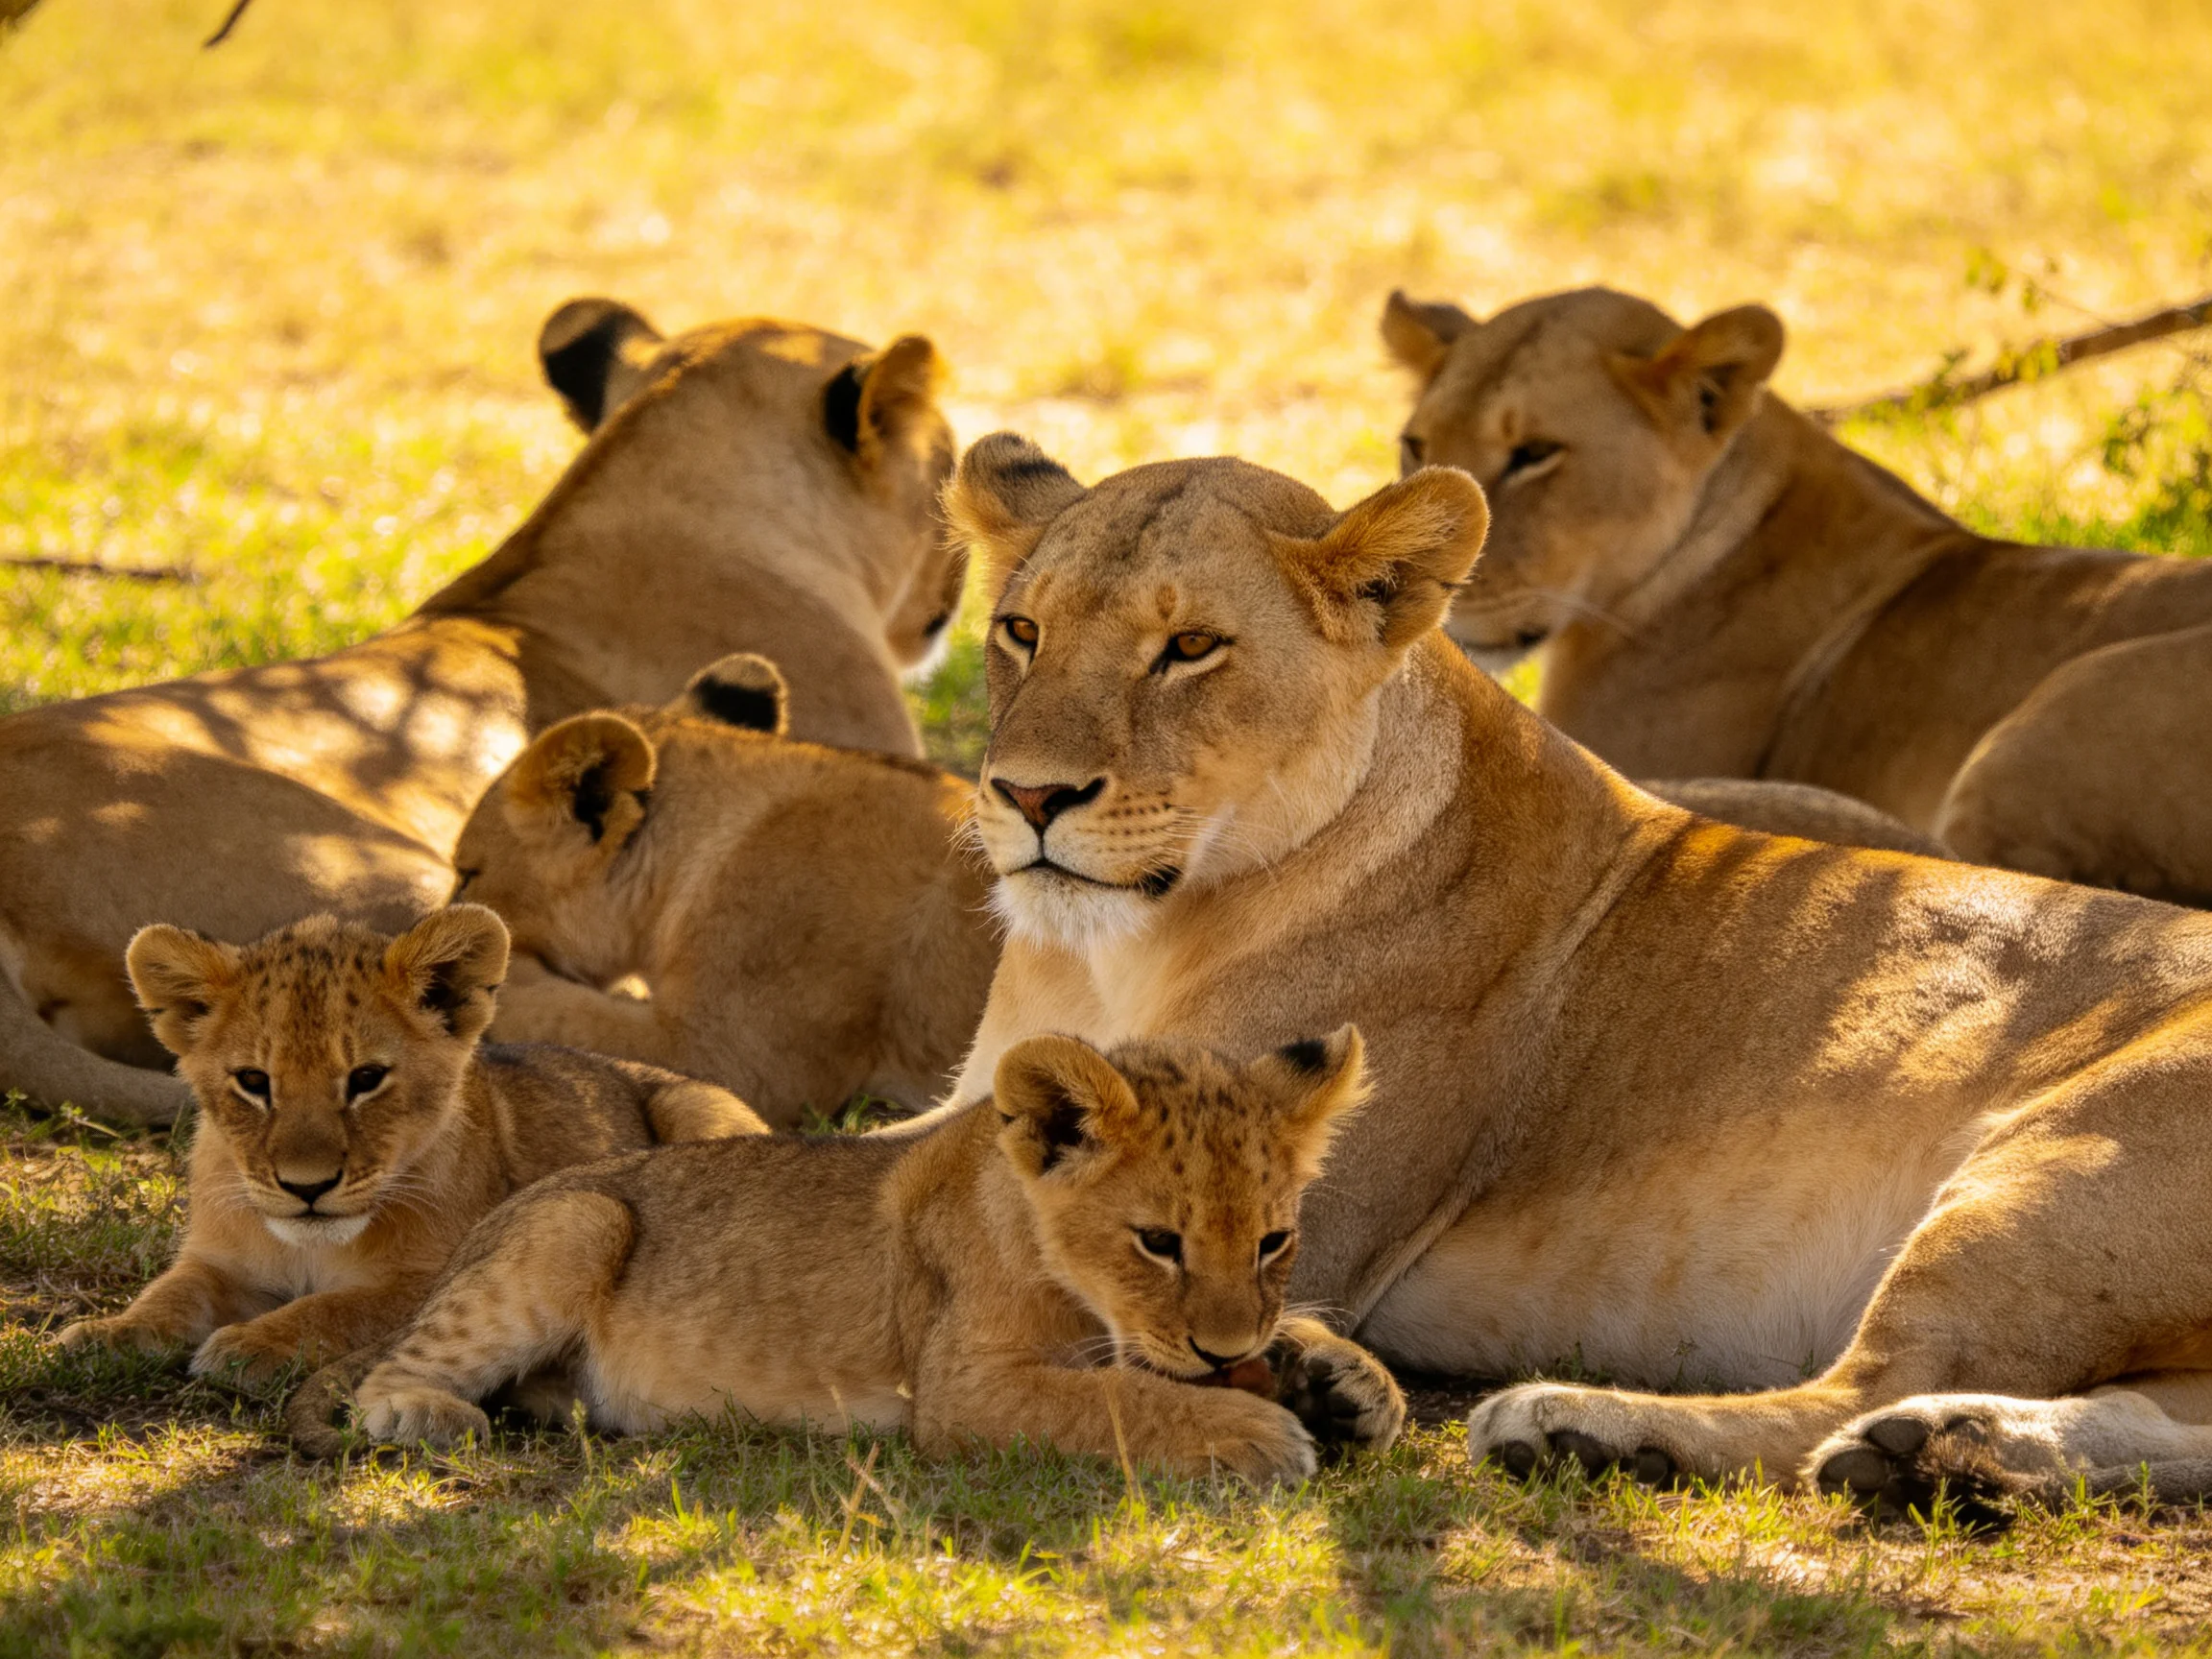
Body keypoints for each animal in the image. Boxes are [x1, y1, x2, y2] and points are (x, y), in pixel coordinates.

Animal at [55, 905, 764, 1383]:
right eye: (254, 1082)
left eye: (366, 1078)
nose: (307, 1188)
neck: (312, 1248)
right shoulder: (217, 1260)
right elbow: (169, 1293)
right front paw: (108, 1333)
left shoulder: (437, 1278)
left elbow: (335, 1308)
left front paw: (248, 1345)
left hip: (694, 1108)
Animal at [289, 1028, 1406, 1485]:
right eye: (1158, 1243)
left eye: (1272, 1240)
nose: (1228, 1354)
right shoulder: (964, 1394)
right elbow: (1123, 1399)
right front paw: (1256, 1431)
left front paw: (1351, 1386)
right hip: (581, 1222)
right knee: (389, 1373)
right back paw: (425, 1414)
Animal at [934, 433, 2212, 1509]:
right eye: (1022, 632)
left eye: (1190, 647)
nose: (1027, 795)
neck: (1115, 953)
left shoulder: (1259, 1221)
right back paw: (1960, 1448)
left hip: (2063, 1166)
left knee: (1854, 1393)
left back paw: (1609, 1430)